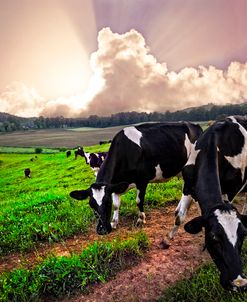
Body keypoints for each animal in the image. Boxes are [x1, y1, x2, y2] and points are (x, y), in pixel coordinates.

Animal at [69, 121, 203, 236]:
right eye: (91, 205)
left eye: (107, 202)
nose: (102, 230)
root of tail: (195, 125)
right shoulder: (115, 185)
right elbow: (117, 205)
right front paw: (114, 222)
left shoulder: (142, 180)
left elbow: (139, 201)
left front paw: (140, 219)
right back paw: (178, 209)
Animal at [169, 115, 247, 290]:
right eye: (214, 238)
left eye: (243, 235)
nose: (239, 284)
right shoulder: (188, 184)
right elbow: (180, 216)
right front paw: (167, 240)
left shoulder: (231, 191)